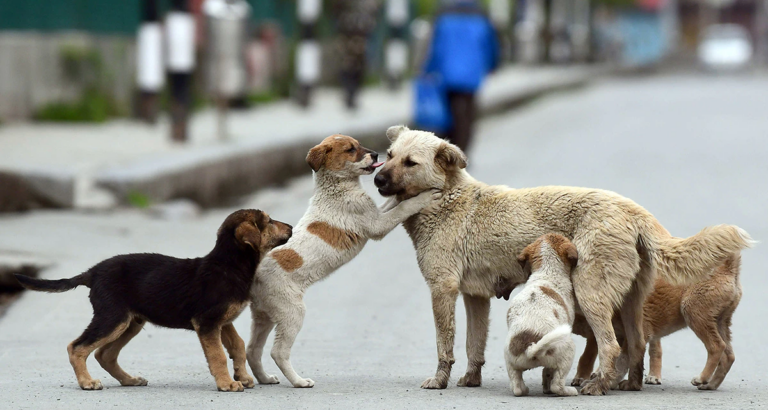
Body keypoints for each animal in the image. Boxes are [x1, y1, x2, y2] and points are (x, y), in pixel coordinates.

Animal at [15, 210, 292, 392]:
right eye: (269, 221)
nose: (290, 227)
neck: (229, 265)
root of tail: (92, 272)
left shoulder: (222, 321)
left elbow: (237, 346)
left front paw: (242, 377)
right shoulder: (207, 322)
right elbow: (218, 356)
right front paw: (227, 383)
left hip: (130, 322)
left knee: (105, 354)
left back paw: (129, 380)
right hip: (112, 318)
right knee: (77, 347)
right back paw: (87, 382)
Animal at [504, 234, 576, 398]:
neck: (547, 272)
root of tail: (530, 349)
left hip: (510, 361)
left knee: (517, 387)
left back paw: (524, 389)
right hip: (568, 352)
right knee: (557, 385)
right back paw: (569, 391)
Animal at [572, 253, 740, 390]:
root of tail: (728, 268)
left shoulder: (637, 334)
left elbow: (624, 360)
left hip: (694, 313)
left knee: (716, 347)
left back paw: (701, 378)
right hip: (721, 322)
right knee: (729, 356)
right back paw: (710, 385)